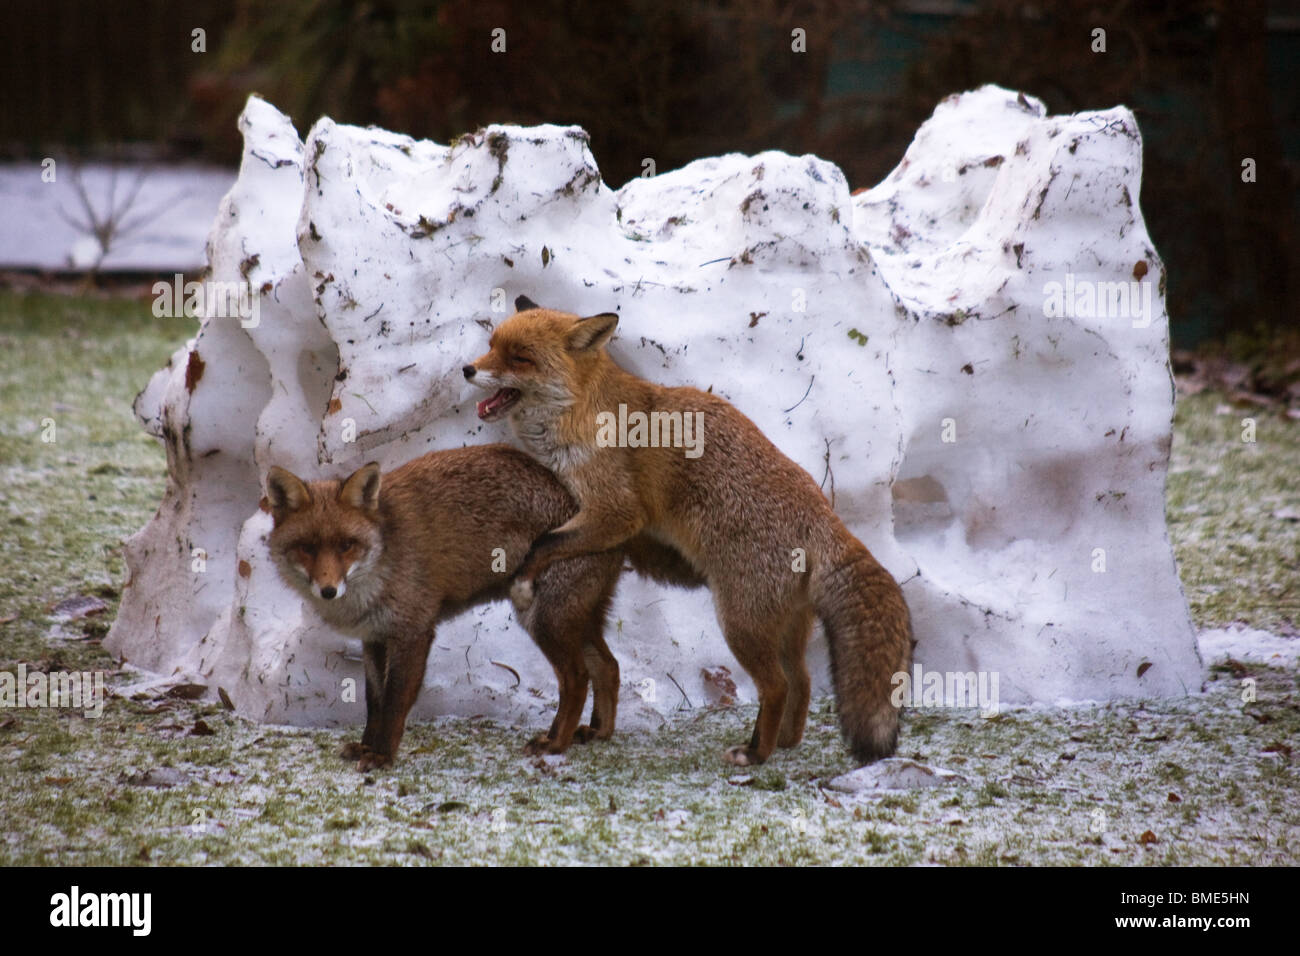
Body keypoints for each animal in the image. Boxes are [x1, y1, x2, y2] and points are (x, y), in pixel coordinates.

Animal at [265, 444, 699, 771]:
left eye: (346, 545)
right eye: (307, 548)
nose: (328, 590)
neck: (382, 560)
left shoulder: (413, 631)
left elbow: (395, 701)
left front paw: (383, 755)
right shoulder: (374, 638)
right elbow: (374, 702)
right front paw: (366, 746)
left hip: (543, 619)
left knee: (577, 679)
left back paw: (555, 744)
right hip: (575, 619)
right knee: (608, 667)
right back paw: (598, 733)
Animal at [464, 296, 914, 766]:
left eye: (520, 357)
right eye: (492, 345)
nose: (468, 370)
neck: (582, 414)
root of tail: (825, 515)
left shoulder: (616, 510)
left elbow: (546, 541)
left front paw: (524, 581)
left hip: (739, 624)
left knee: (776, 686)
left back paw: (755, 753)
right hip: (783, 628)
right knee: (803, 681)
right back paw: (784, 742)